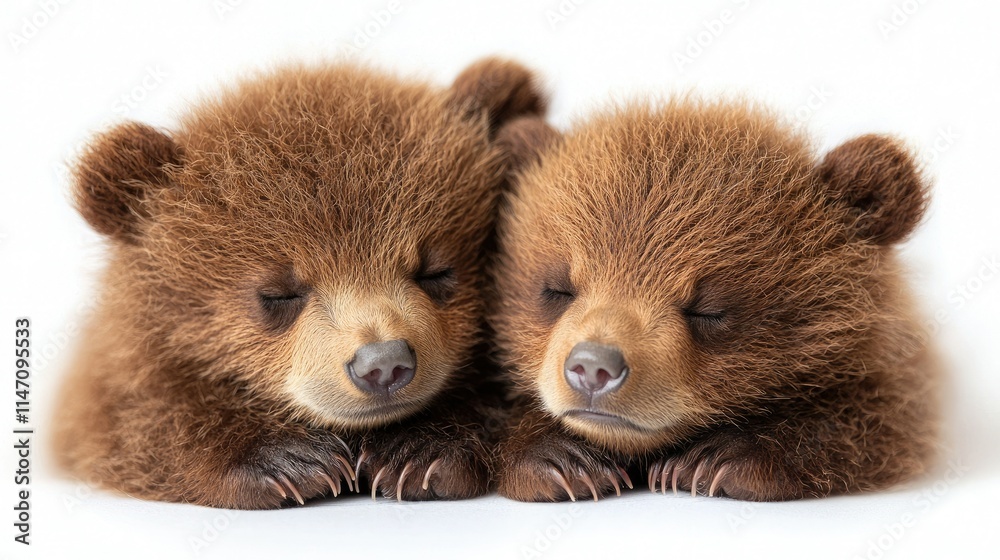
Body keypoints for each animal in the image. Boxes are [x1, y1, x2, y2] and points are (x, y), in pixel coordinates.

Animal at [52, 57, 545, 509]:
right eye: (277, 294)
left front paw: (419, 452)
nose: (382, 363)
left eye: (436, 271)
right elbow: (136, 419)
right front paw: (289, 460)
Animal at [490, 98, 940, 502]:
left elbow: (886, 418)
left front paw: (711, 460)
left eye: (708, 310)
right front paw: (565, 461)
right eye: (557, 289)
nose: (594, 367)